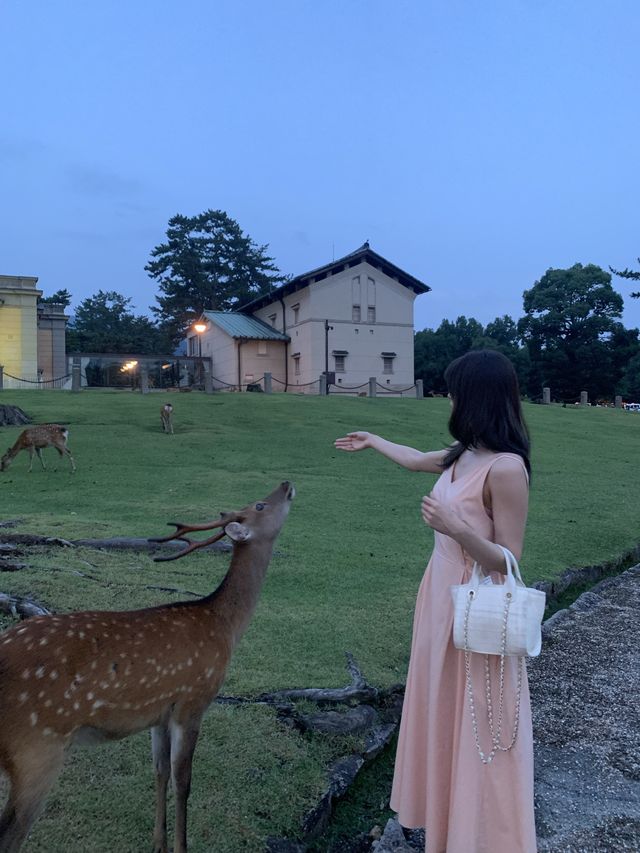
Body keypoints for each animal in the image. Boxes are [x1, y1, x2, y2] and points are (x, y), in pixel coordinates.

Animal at [0, 480, 296, 852]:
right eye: (260, 504)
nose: (286, 485)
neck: (224, 626)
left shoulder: (159, 713)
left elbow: (159, 771)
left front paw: (159, 842)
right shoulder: (192, 701)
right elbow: (183, 781)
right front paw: (182, 846)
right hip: (36, 750)